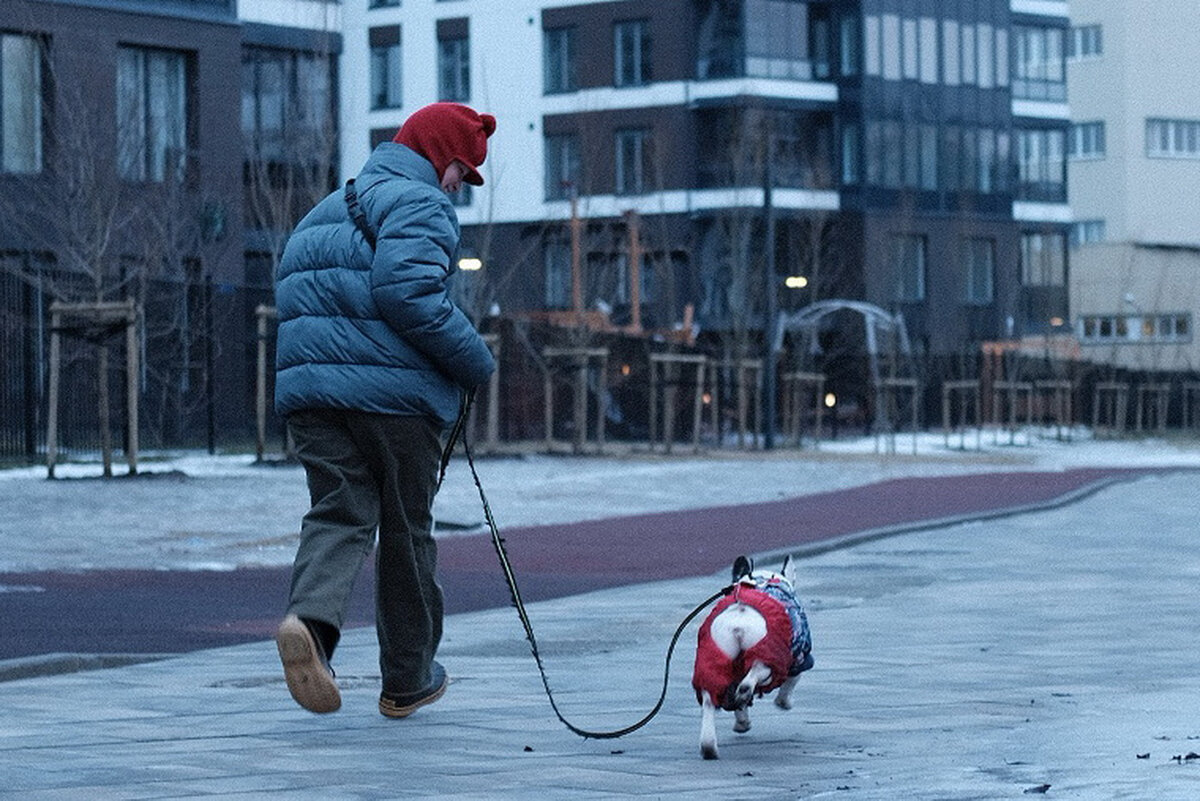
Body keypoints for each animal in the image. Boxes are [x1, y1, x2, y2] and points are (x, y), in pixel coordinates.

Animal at [696, 553, 816, 762]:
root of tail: (739, 623)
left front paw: (742, 722)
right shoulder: (799, 659)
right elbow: (790, 684)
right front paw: (784, 703)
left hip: (716, 653)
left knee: (711, 699)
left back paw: (709, 747)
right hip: (767, 656)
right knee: (751, 679)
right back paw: (746, 694)